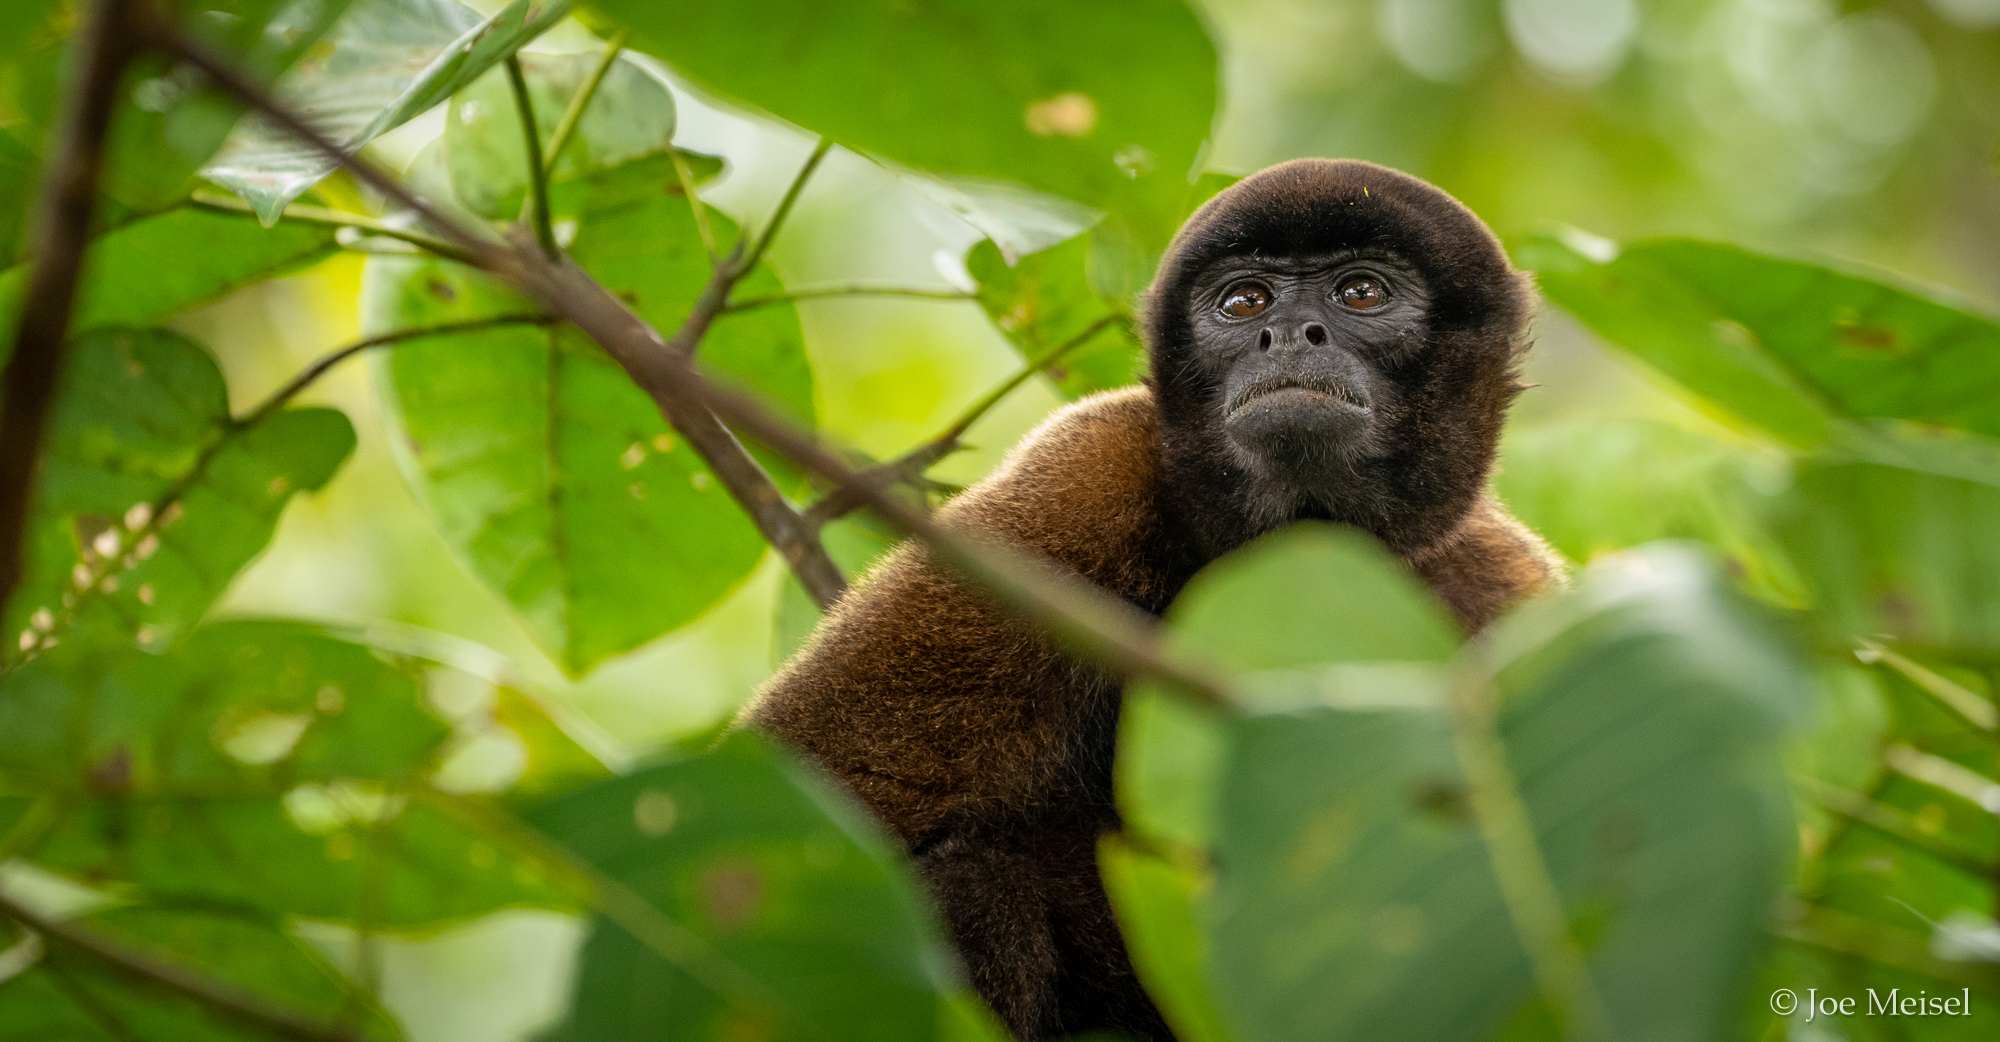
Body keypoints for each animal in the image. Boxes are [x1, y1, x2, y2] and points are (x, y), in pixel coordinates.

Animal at [741, 158, 1564, 1040]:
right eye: (1244, 303)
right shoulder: (1078, 483)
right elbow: (824, 789)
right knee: (967, 872)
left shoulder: (1503, 587)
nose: (1289, 336)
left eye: (1362, 292)